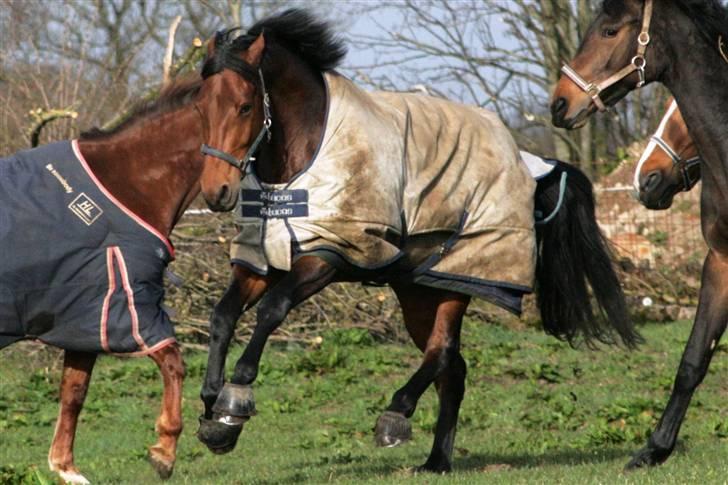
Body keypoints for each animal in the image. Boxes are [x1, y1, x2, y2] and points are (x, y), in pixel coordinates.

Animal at [0, 77, 233, 482]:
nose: (225, 194)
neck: (124, 187)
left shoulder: (85, 316)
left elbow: (74, 391)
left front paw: (65, 468)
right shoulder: (131, 308)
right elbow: (174, 362)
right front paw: (164, 451)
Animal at [195, 10, 644, 472]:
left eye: (245, 106)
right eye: (199, 106)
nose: (216, 192)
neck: (304, 159)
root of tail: (529, 164)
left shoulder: (328, 254)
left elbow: (271, 309)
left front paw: (235, 399)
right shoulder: (261, 260)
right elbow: (222, 315)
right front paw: (212, 410)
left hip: (457, 277)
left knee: (442, 351)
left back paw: (396, 415)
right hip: (418, 293)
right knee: (452, 368)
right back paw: (436, 460)